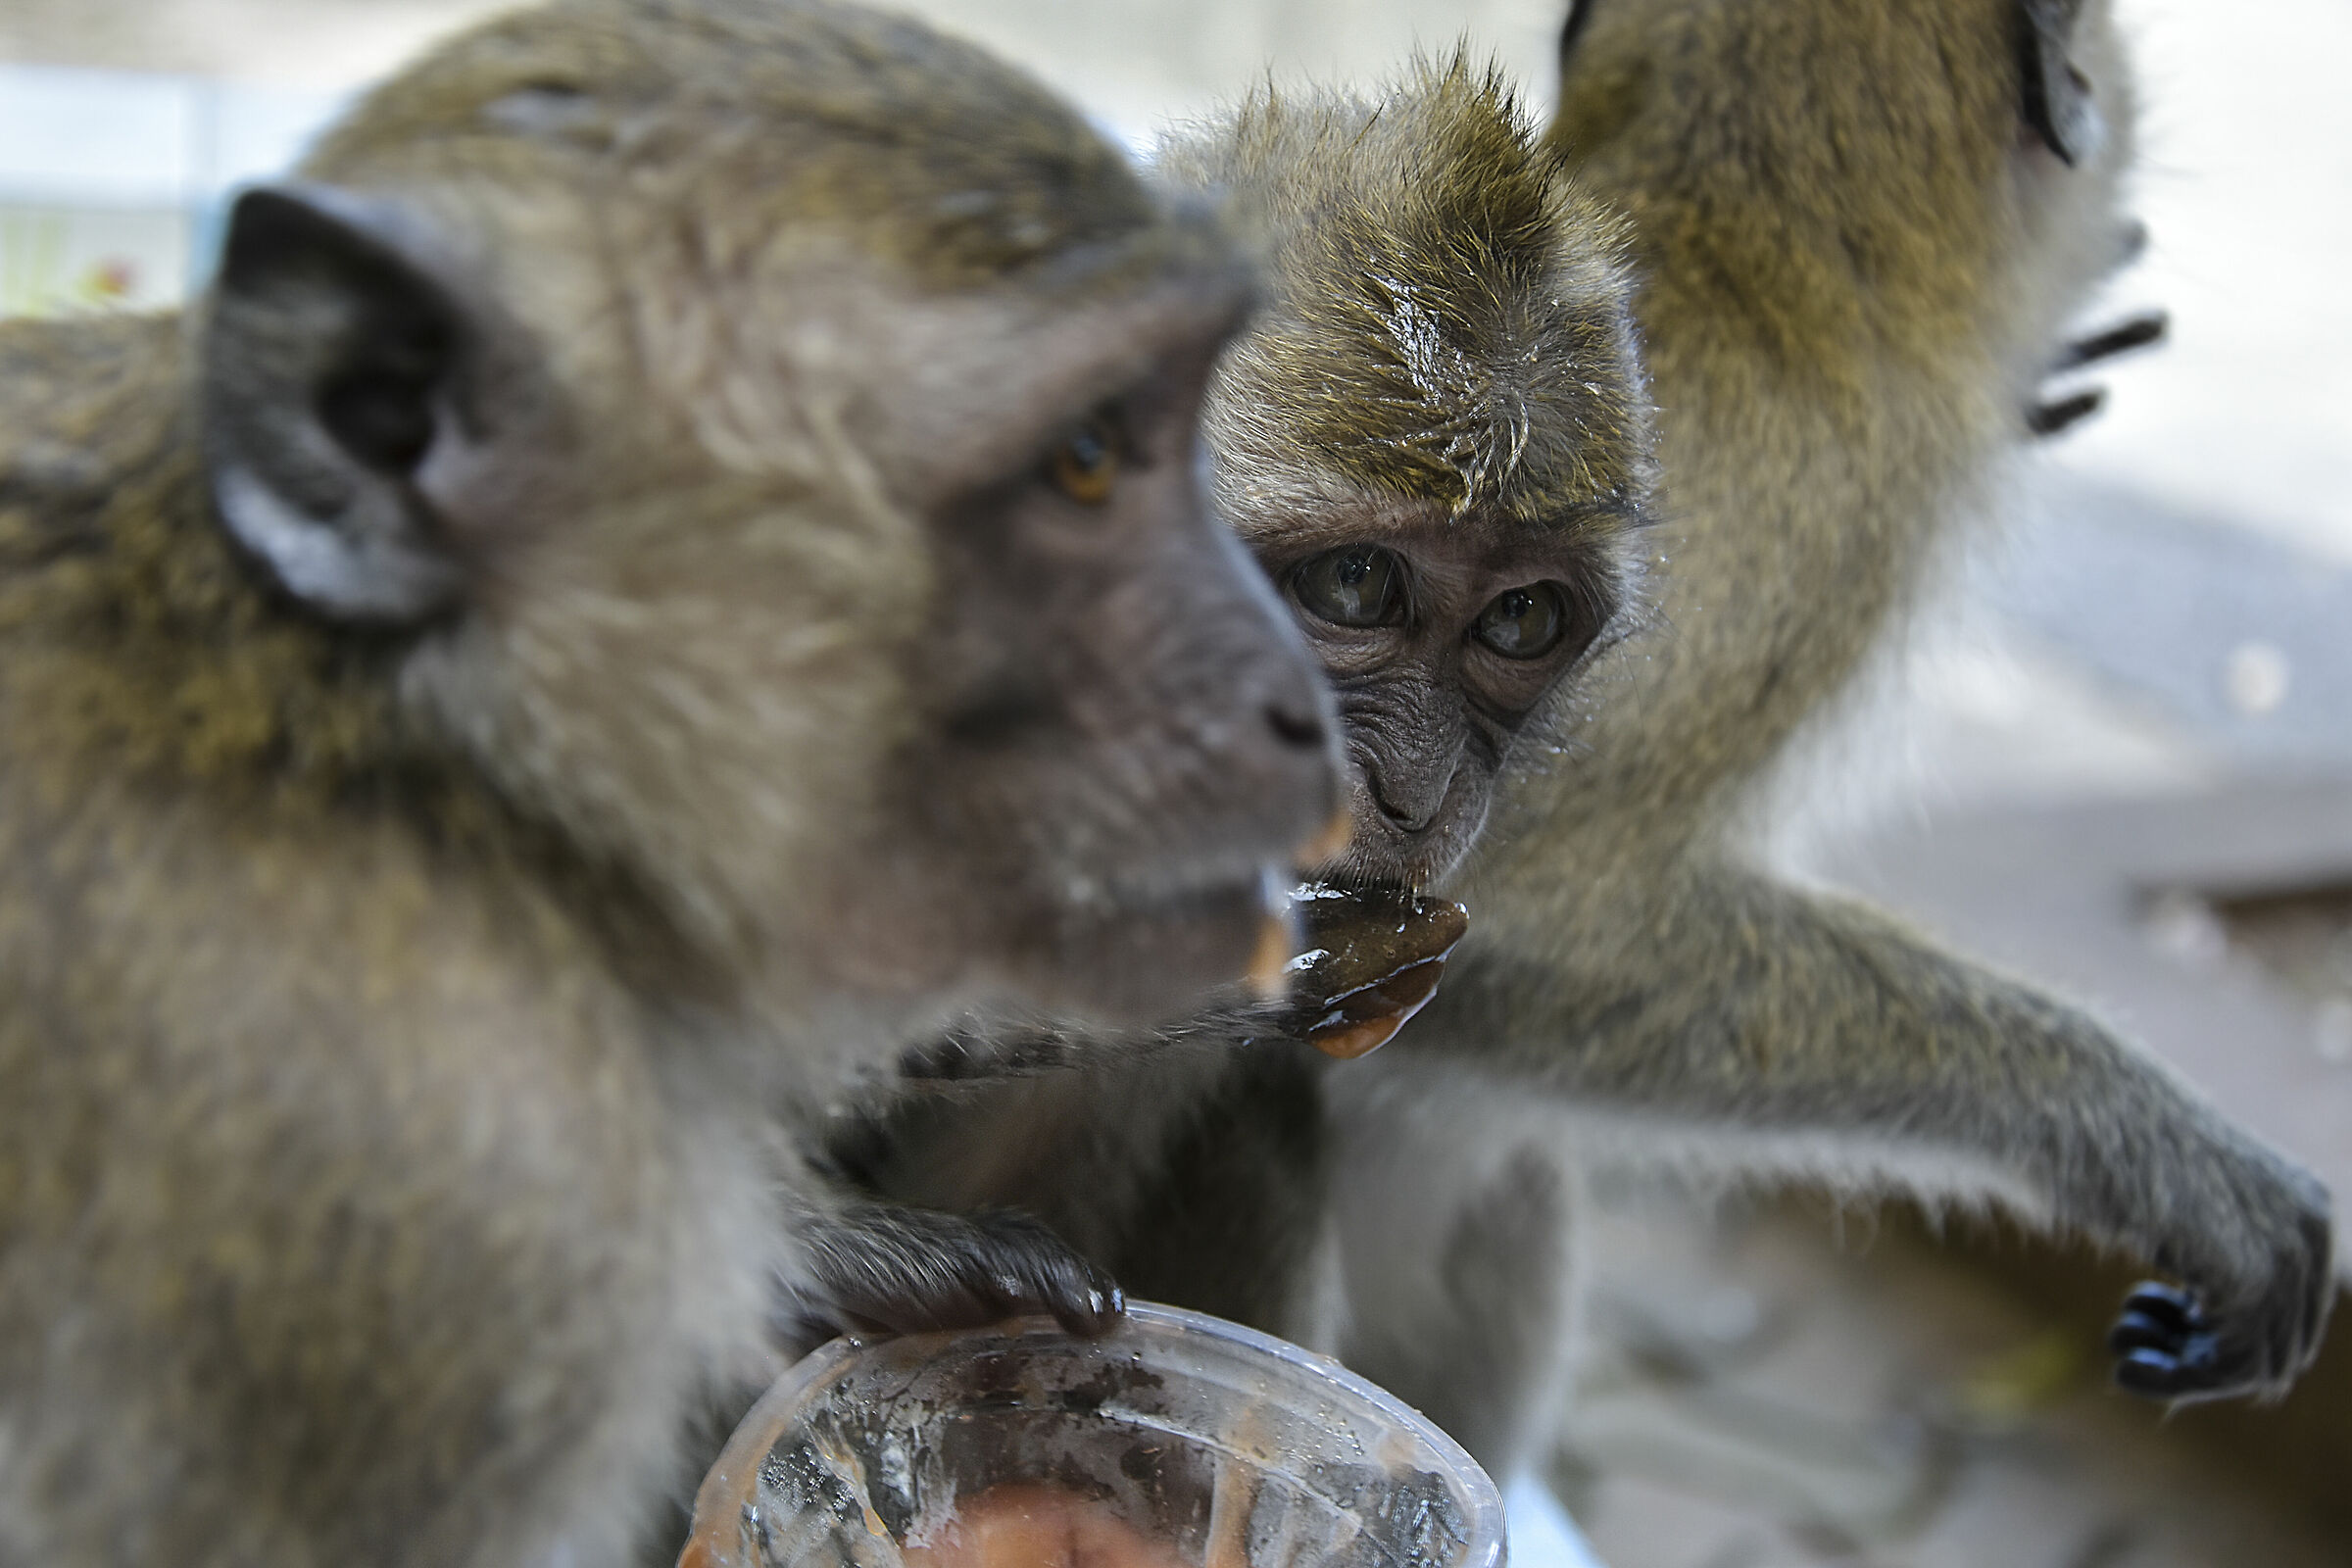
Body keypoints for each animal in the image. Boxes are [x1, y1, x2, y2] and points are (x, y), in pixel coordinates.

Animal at [837, 0, 2334, 1491]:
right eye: (1353, 590)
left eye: (1520, 621)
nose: (1411, 787)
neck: (1780, 259)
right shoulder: (1816, 520)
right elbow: (1548, 925)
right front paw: (2144, 1141)